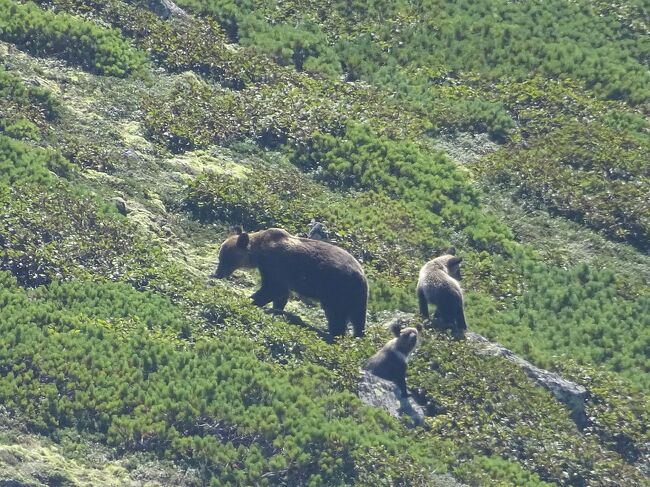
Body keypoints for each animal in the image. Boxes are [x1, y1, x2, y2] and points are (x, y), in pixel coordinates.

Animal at [211, 229, 368, 340]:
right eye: (221, 256)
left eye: (225, 258)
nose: (217, 273)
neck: (259, 252)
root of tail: (362, 276)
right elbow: (281, 295)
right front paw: (276, 310)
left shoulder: (275, 265)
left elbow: (273, 289)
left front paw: (251, 301)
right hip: (353, 296)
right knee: (356, 317)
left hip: (336, 288)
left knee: (336, 314)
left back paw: (333, 334)